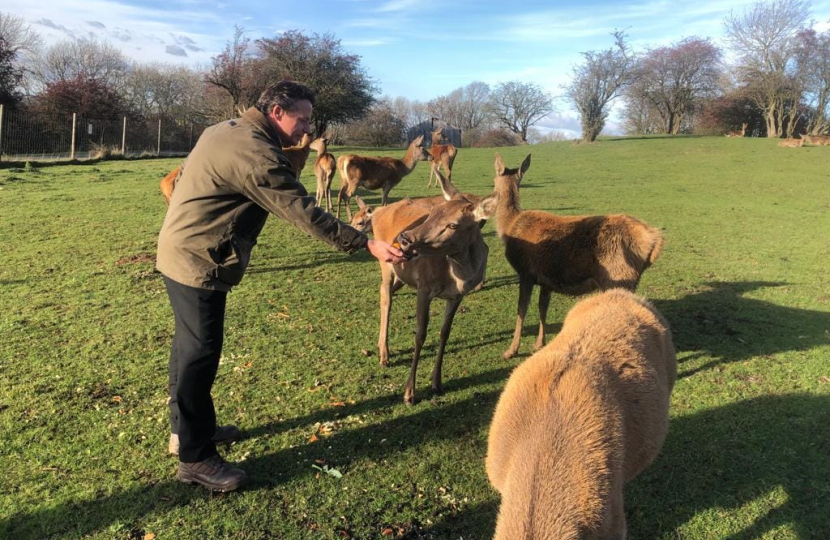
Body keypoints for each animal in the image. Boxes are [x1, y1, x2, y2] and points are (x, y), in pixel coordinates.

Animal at [372, 173, 500, 404]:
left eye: (453, 225)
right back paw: (384, 354)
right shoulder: (424, 287)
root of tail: (377, 211)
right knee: (385, 296)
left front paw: (436, 383)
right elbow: (420, 335)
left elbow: (444, 333)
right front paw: (409, 393)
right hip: (384, 262)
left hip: (401, 273)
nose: (405, 238)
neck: (456, 276)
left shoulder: (457, 296)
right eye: (432, 212)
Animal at [490, 152, 668, 360]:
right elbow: (542, 308)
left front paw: (511, 350)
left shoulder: (525, 272)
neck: (509, 225)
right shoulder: (546, 279)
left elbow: (521, 310)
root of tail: (653, 240)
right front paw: (539, 344)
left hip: (618, 277)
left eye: (493, 179)